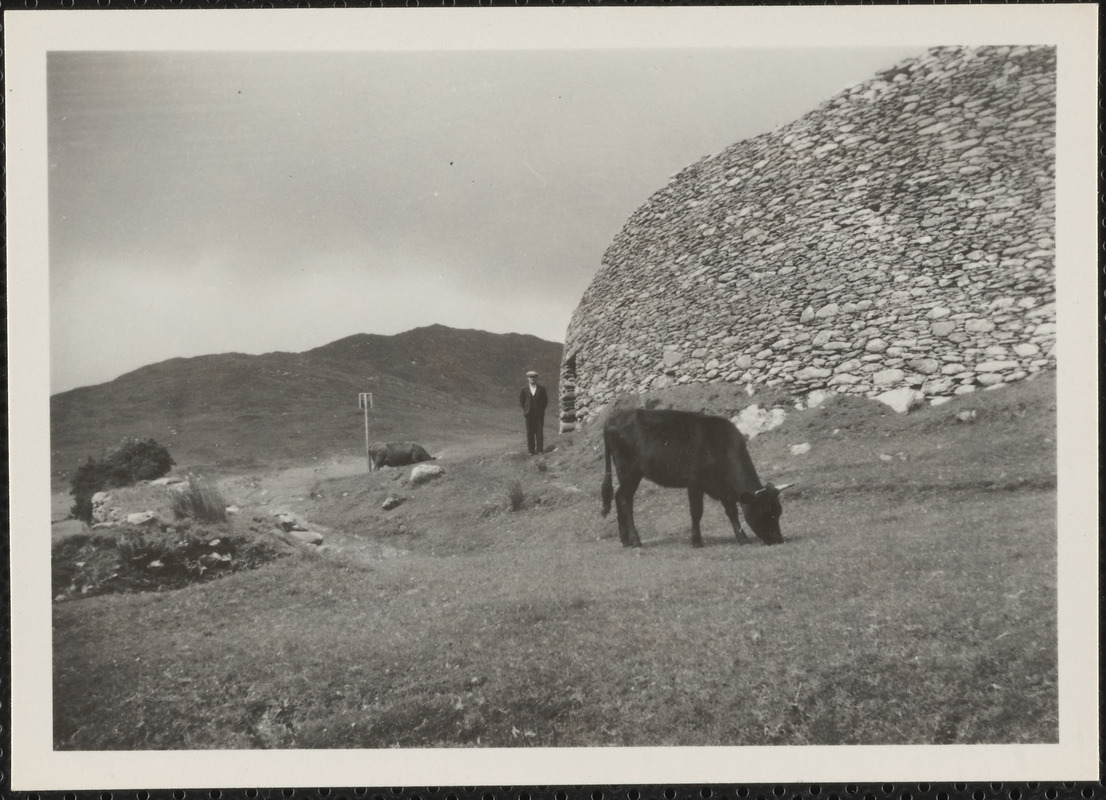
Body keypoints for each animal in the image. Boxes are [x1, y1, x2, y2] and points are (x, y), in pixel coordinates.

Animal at [601, 409, 791, 546]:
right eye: (764, 511)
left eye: (779, 512)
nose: (778, 540)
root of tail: (613, 418)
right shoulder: (695, 482)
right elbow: (696, 512)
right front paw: (697, 541)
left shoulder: (723, 487)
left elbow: (732, 512)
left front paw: (743, 539)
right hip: (629, 471)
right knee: (625, 501)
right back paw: (635, 540)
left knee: (619, 497)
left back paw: (625, 540)